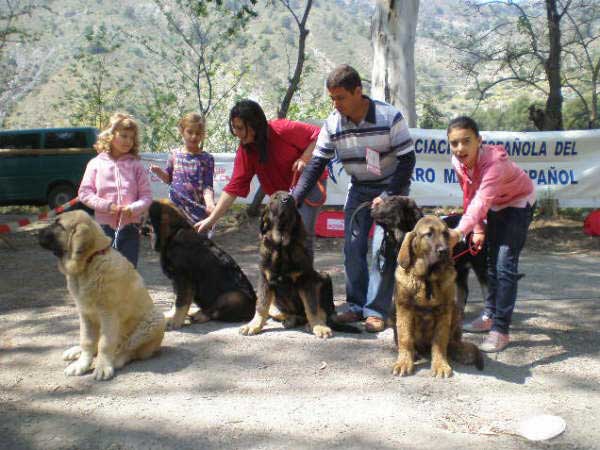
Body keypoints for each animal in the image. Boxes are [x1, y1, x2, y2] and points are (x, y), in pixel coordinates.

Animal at [148, 200, 258, 330]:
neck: (174, 234)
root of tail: (253, 310)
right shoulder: (177, 281)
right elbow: (176, 300)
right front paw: (171, 316)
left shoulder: (184, 280)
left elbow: (180, 302)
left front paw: (175, 321)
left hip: (233, 296)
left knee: (215, 312)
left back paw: (199, 315)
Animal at [239, 190, 360, 338]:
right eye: (275, 197)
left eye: (291, 197)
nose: (287, 199)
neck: (282, 246)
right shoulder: (265, 280)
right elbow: (261, 306)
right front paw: (253, 325)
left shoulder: (306, 280)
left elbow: (312, 307)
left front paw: (319, 327)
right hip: (275, 306)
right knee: (283, 313)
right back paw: (291, 319)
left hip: (324, 277)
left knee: (323, 312)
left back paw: (311, 323)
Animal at [392, 216, 486, 378]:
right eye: (428, 234)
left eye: (446, 234)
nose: (444, 251)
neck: (427, 278)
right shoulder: (404, 309)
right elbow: (405, 338)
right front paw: (404, 362)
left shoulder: (444, 311)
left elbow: (440, 341)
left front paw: (440, 365)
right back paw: (415, 353)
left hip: (455, 311)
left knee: (453, 341)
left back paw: (461, 352)